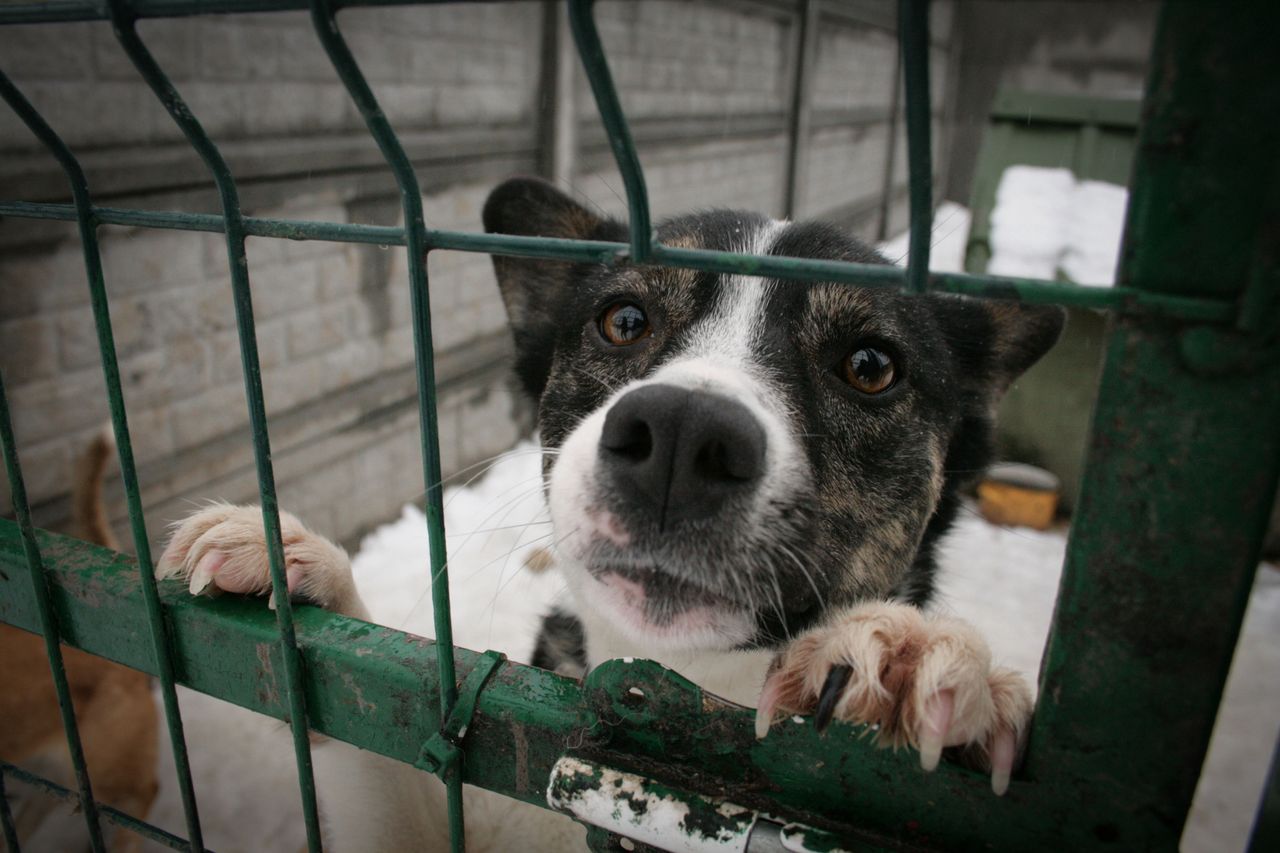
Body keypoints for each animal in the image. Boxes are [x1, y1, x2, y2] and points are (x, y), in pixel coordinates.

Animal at [157, 175, 1059, 845]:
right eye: (623, 319)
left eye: (871, 365)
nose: (682, 435)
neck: (688, 693)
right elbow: (362, 692)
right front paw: (295, 576)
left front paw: (907, 661)